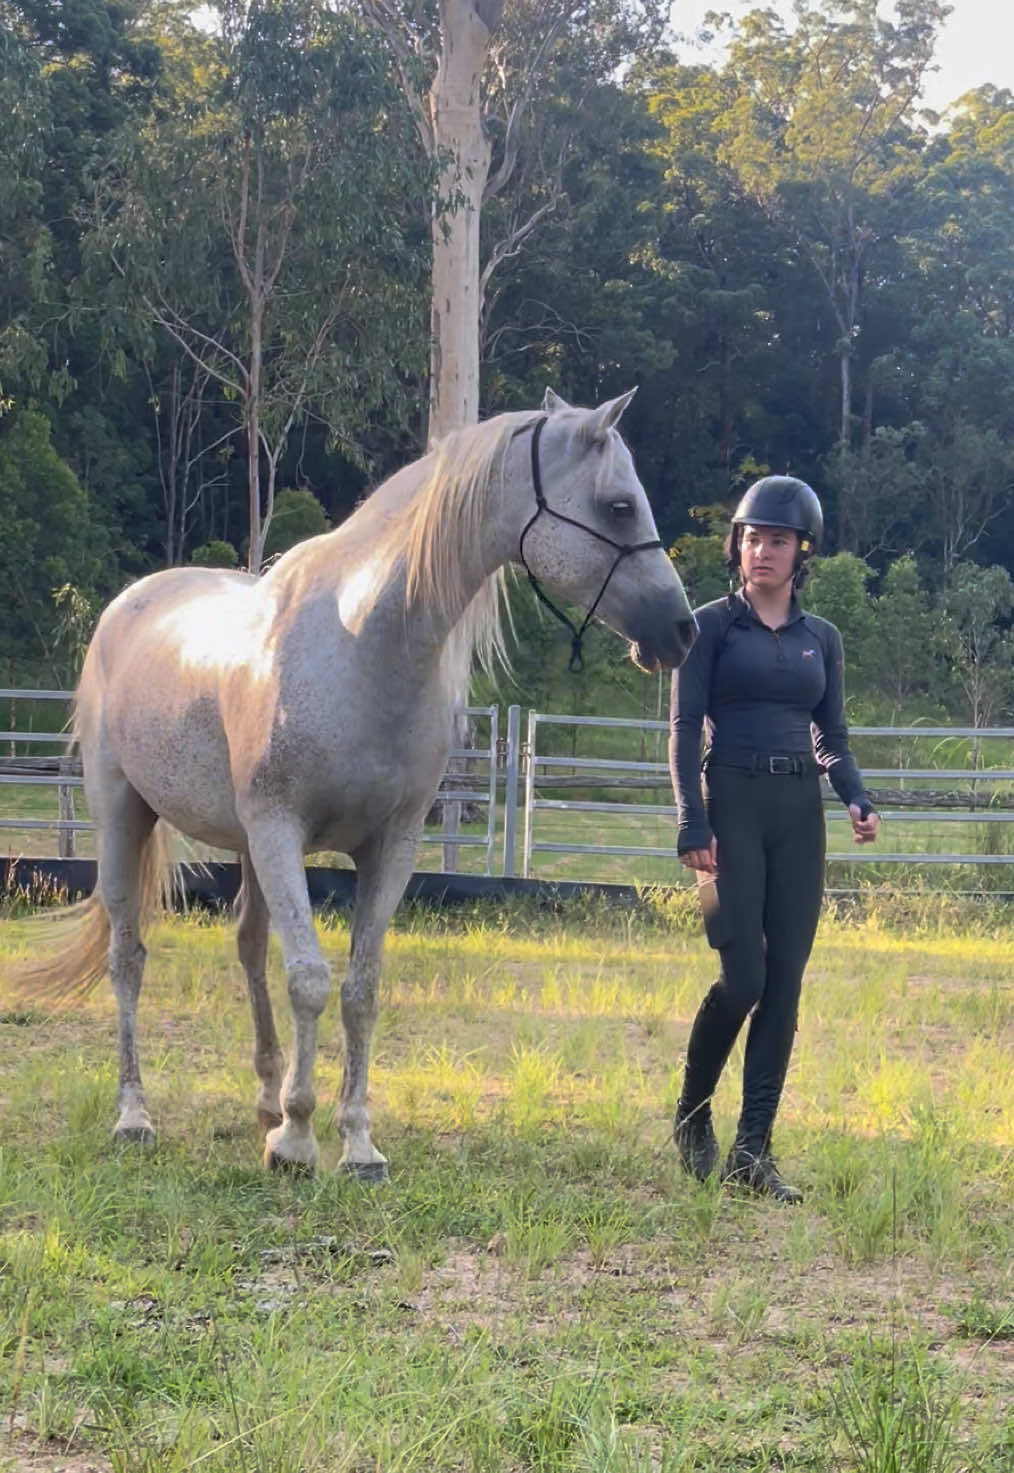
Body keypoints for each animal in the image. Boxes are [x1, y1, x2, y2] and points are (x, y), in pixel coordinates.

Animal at [10, 388, 696, 1179]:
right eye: (619, 506)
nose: (681, 630)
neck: (363, 641)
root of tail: (126, 608)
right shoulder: (282, 832)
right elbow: (309, 979)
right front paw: (300, 1140)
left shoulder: (388, 847)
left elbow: (360, 988)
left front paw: (356, 1141)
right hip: (125, 816)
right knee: (128, 959)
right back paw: (135, 1115)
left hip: (245, 847)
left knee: (248, 947)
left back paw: (266, 1098)